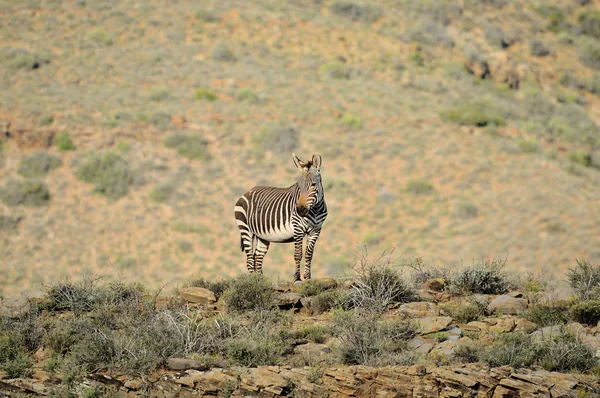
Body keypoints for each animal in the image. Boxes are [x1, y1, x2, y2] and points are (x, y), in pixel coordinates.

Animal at [234, 154, 328, 282]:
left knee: (257, 257)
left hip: (262, 235)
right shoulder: (298, 228)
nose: (300, 210)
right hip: (245, 229)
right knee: (249, 259)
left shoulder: (316, 230)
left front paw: (308, 278)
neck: (315, 209)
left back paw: (260, 281)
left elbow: (309, 255)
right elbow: (298, 254)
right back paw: (253, 282)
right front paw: (297, 278)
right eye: (299, 186)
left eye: (313, 184)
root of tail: (247, 192)